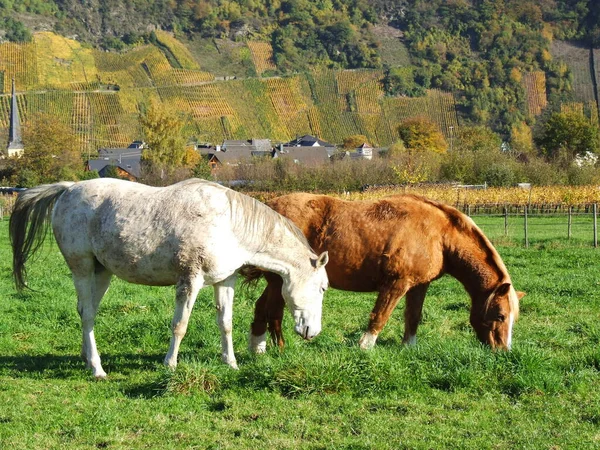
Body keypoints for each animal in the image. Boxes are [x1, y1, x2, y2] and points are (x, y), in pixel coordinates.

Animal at [9, 178, 328, 378]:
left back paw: (86, 358)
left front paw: (231, 363)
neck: (229, 224)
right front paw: (170, 364)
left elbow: (225, 324)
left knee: (85, 311)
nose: (312, 332)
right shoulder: (190, 280)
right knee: (87, 314)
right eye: (323, 288)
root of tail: (69, 189)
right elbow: (180, 325)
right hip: (82, 268)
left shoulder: (225, 281)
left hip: (102, 273)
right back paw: (98, 369)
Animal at [246, 192, 524, 354]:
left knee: (264, 310)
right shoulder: (396, 284)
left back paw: (263, 350)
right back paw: (273, 351)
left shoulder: (418, 285)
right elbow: (380, 316)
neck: (439, 236)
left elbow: (413, 318)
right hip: (279, 281)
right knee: (271, 311)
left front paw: (408, 348)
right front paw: (365, 347)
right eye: (500, 315)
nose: (503, 351)